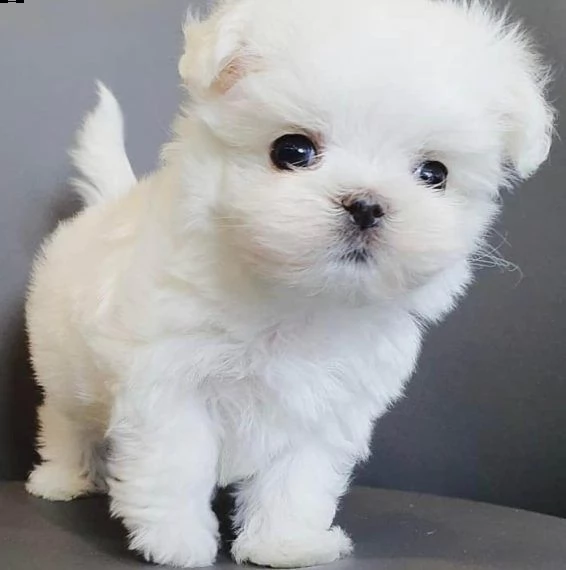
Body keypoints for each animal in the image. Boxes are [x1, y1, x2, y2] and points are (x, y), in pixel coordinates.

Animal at [26, 0, 556, 564]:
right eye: (293, 150)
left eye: (434, 173)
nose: (367, 204)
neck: (296, 299)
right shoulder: (170, 381)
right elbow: (176, 461)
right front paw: (176, 540)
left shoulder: (325, 409)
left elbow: (297, 479)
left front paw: (286, 543)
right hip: (63, 368)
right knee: (63, 419)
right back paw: (63, 478)